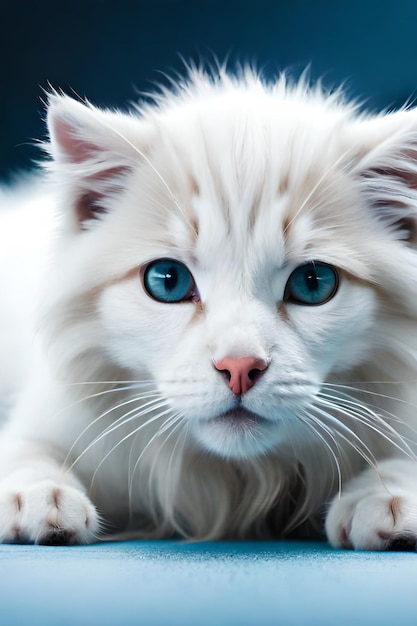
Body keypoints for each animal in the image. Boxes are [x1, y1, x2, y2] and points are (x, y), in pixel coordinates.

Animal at [0, 68, 416, 544]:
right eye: (168, 280)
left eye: (313, 284)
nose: (239, 367)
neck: (239, 479)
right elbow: (25, 449)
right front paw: (37, 494)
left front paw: (385, 494)